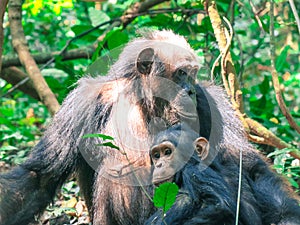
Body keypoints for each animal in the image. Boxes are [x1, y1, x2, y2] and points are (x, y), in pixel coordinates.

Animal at [0, 30, 298, 225]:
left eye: (193, 74)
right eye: (181, 73)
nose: (190, 90)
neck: (147, 102)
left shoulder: (212, 103)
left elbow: (244, 164)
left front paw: (287, 219)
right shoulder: (81, 104)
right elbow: (40, 176)